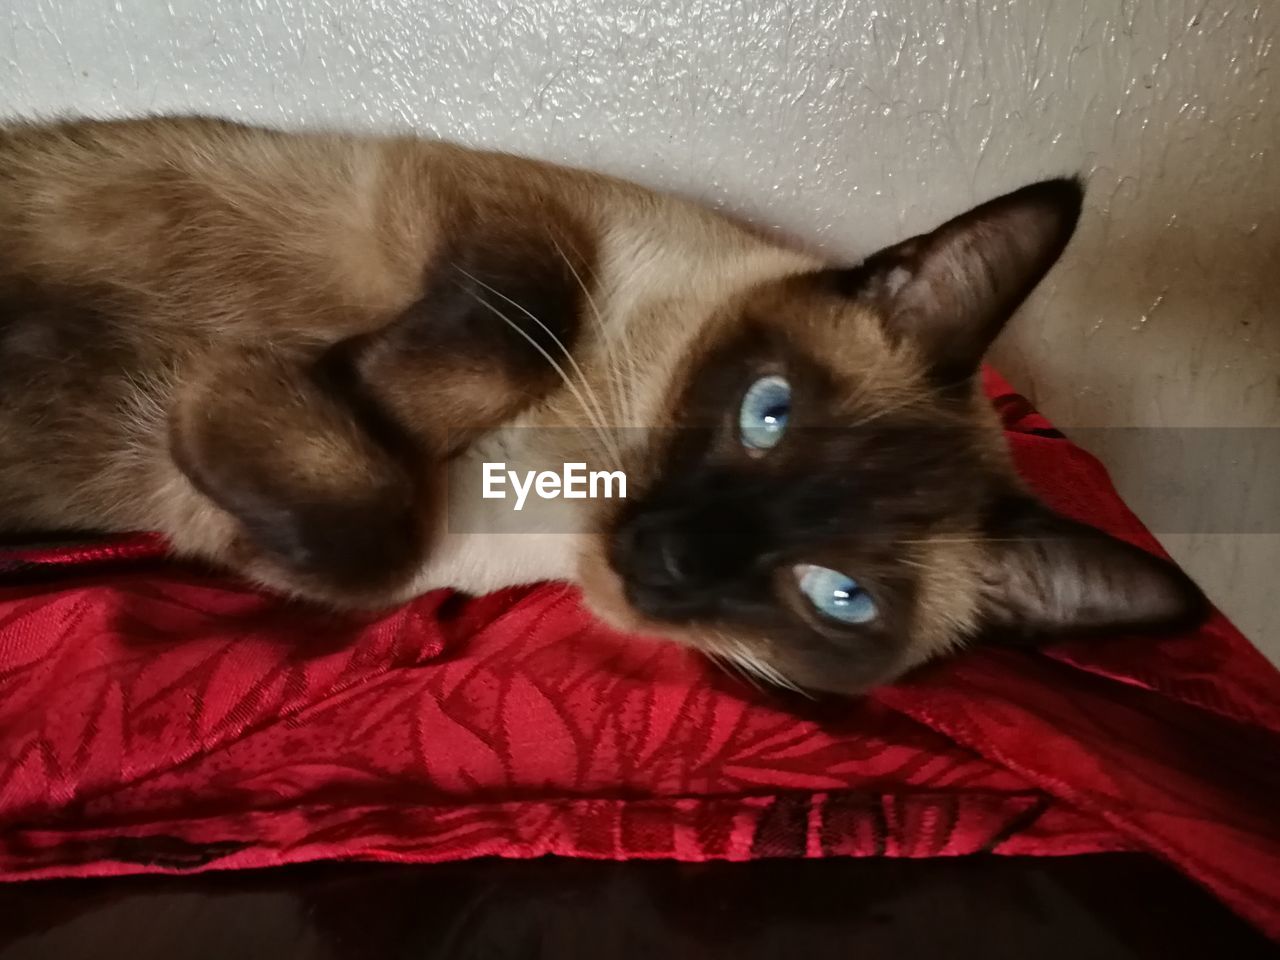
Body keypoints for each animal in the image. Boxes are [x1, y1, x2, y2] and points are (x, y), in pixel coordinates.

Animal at [0, 116, 1203, 696]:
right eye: (767, 412)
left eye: (840, 597)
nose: (663, 556)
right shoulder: (512, 219)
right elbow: (491, 346)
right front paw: (312, 372)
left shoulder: (290, 550)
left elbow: (364, 533)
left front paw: (219, 385)